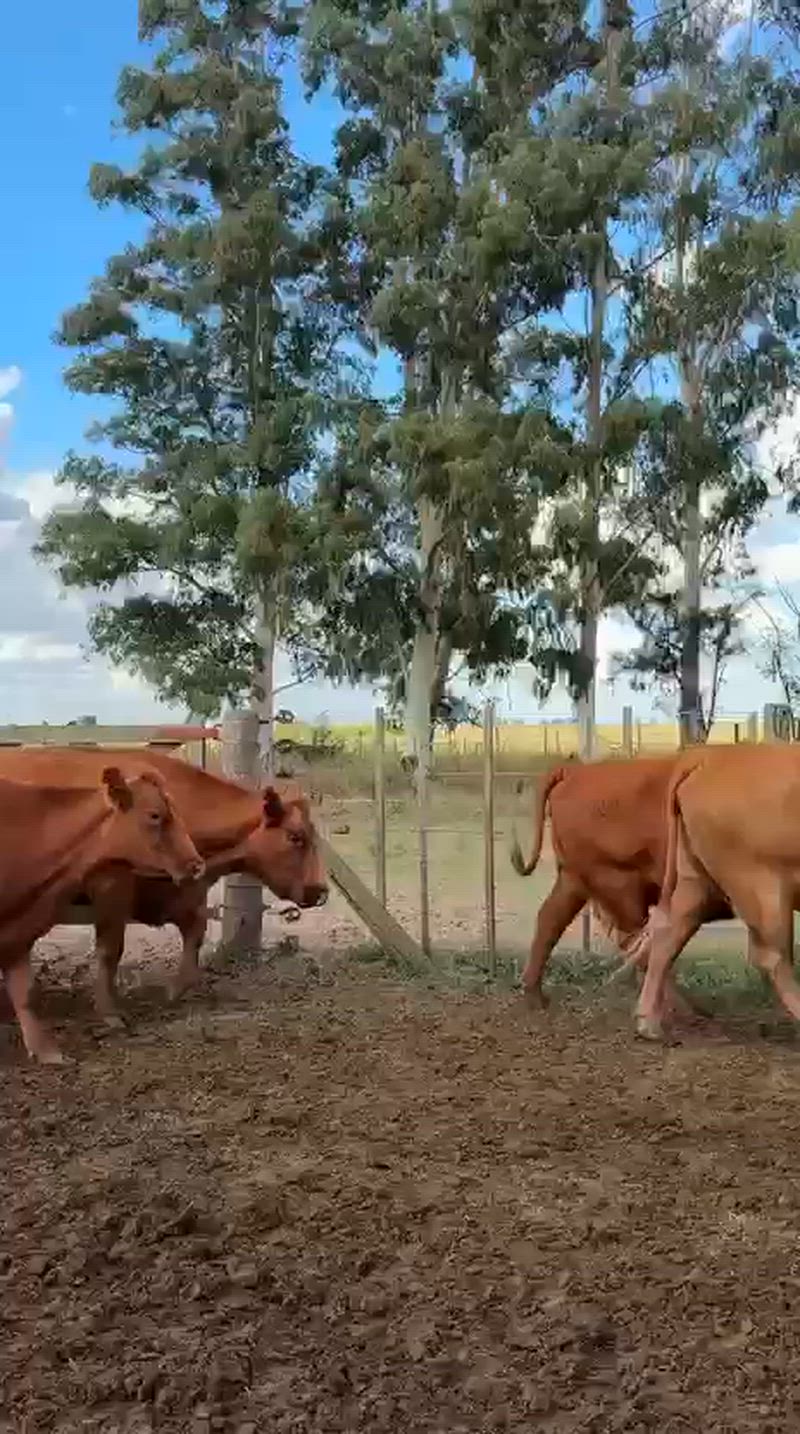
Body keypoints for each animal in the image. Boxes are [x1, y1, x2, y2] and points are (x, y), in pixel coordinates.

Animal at [0, 746, 328, 1025]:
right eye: (296, 837)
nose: (321, 891)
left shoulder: (184, 891)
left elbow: (195, 933)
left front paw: (174, 991)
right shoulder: (110, 886)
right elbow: (110, 950)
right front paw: (109, 1011)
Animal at [510, 755, 734, 1019]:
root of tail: (575, 772)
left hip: (575, 881)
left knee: (550, 920)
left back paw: (535, 997)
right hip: (620, 886)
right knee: (640, 941)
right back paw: (682, 1009)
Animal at [636, 743, 800, 1040]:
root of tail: (710, 754)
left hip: (696, 881)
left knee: (669, 934)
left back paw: (649, 1024)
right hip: (761, 886)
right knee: (772, 956)